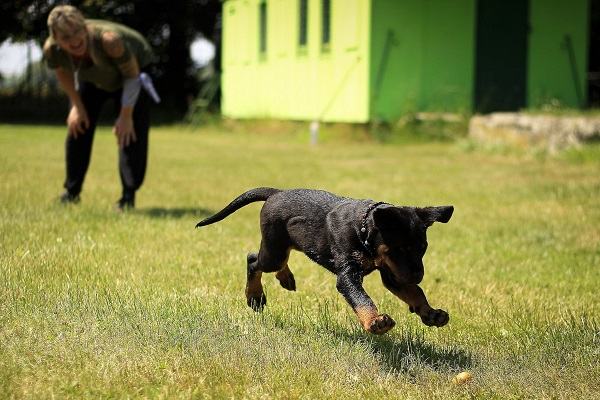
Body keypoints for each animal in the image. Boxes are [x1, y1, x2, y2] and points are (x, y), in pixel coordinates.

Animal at [197, 188, 454, 334]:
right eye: (399, 249)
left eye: (423, 248)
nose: (418, 275)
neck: (362, 229)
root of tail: (276, 192)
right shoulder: (349, 275)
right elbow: (362, 299)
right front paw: (375, 322)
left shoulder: (393, 274)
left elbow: (415, 293)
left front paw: (431, 313)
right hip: (274, 250)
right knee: (253, 260)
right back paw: (255, 296)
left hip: (286, 244)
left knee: (277, 260)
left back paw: (285, 278)